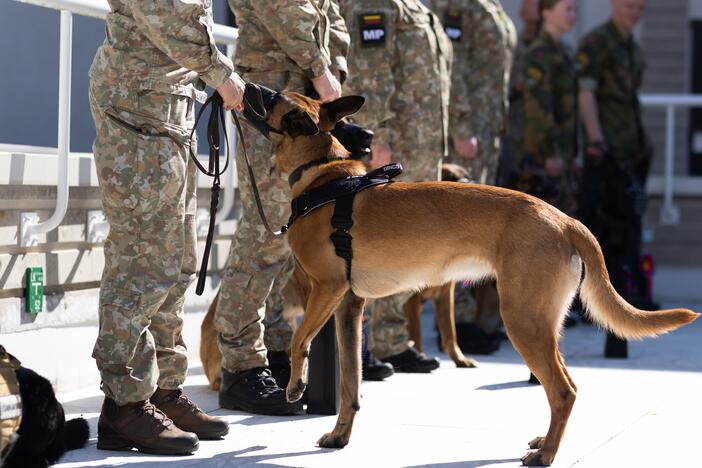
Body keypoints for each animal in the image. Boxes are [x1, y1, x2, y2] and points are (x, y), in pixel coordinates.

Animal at [241, 89, 700, 466]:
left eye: (274, 95)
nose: (245, 85)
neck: (326, 177)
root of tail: (565, 219)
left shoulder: (327, 291)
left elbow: (299, 340)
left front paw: (295, 386)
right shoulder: (350, 307)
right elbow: (350, 384)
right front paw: (340, 436)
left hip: (522, 321)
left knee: (562, 391)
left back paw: (546, 455)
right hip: (542, 324)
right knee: (565, 385)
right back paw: (544, 444)